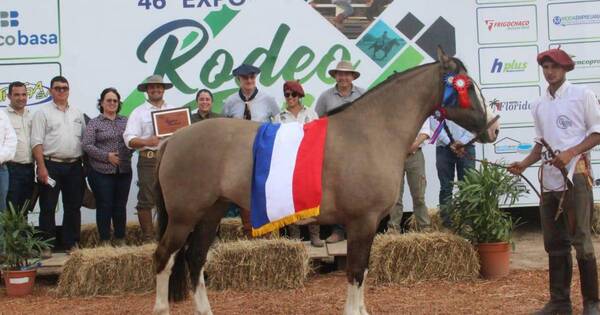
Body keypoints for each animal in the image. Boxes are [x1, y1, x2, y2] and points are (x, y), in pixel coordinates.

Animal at [152, 47, 500, 315]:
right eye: (467, 87)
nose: (494, 128)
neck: (371, 130)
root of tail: (173, 140)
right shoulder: (362, 221)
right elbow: (355, 272)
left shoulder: (369, 224)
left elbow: (363, 270)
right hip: (184, 216)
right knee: (163, 257)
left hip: (210, 212)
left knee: (195, 259)